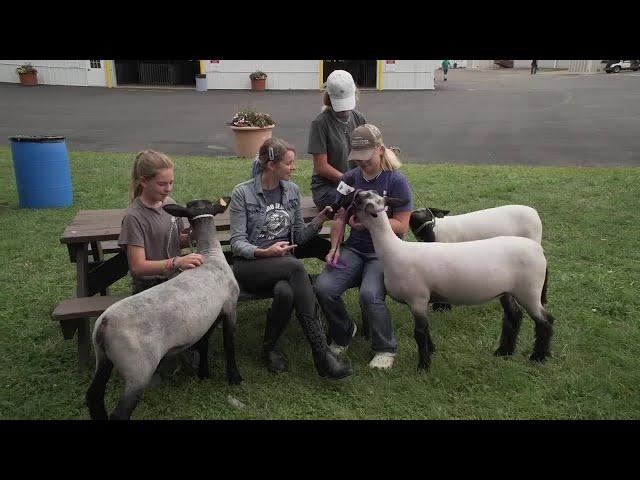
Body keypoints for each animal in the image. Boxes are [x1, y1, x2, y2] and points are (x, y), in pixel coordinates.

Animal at [86, 197, 241, 418]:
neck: (210, 256)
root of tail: (104, 326)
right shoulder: (230, 306)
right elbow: (229, 344)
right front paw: (234, 377)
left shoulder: (207, 318)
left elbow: (203, 345)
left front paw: (204, 374)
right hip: (138, 370)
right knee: (120, 413)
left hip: (104, 359)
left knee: (93, 396)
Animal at [356, 189, 556, 374]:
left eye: (365, 199)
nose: (355, 193)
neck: (394, 251)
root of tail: (539, 250)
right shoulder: (421, 301)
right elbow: (426, 330)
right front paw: (431, 351)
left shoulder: (417, 298)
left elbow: (419, 333)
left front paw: (423, 366)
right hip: (508, 291)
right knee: (514, 316)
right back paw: (504, 352)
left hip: (529, 291)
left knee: (545, 321)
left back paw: (538, 356)